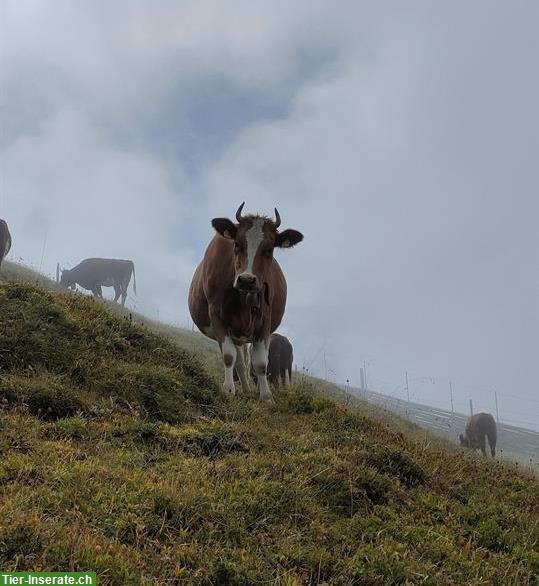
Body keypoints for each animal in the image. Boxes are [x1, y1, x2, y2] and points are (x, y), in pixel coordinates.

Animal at [189, 202, 304, 402]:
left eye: (269, 249)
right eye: (237, 244)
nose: (247, 280)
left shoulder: (265, 321)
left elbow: (261, 363)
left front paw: (266, 397)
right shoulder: (216, 315)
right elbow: (229, 356)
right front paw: (228, 389)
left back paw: (248, 388)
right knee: (239, 360)